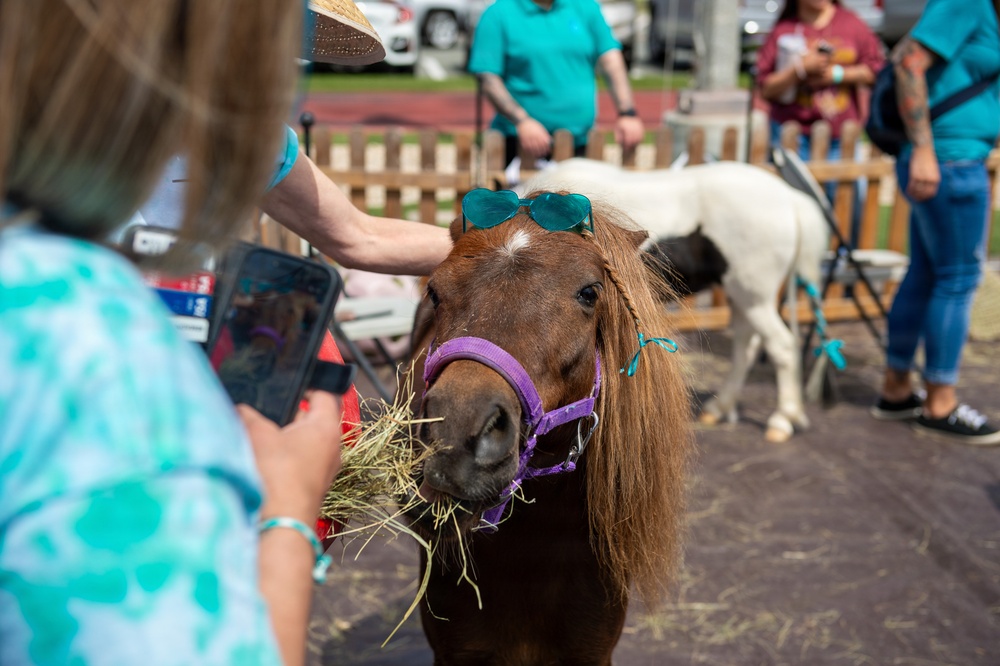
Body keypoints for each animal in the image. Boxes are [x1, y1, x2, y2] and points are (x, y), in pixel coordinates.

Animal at [521, 158, 830, 442]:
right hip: (743, 297)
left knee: (782, 347)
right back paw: (721, 407)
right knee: (745, 345)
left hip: (754, 296)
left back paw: (782, 418)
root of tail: (789, 198)